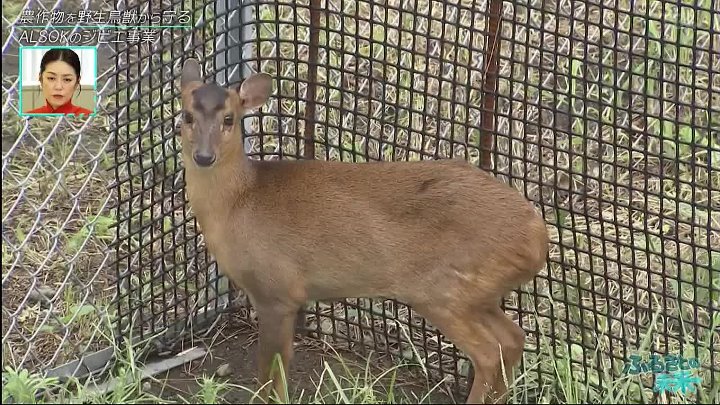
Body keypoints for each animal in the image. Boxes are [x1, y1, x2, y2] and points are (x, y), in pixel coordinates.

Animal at [177, 57, 548, 404]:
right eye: (186, 116)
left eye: (229, 119)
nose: (204, 156)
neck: (241, 201)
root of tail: (538, 237)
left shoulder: (276, 290)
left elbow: (272, 369)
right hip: (478, 293)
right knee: (513, 338)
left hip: (441, 288)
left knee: (489, 352)